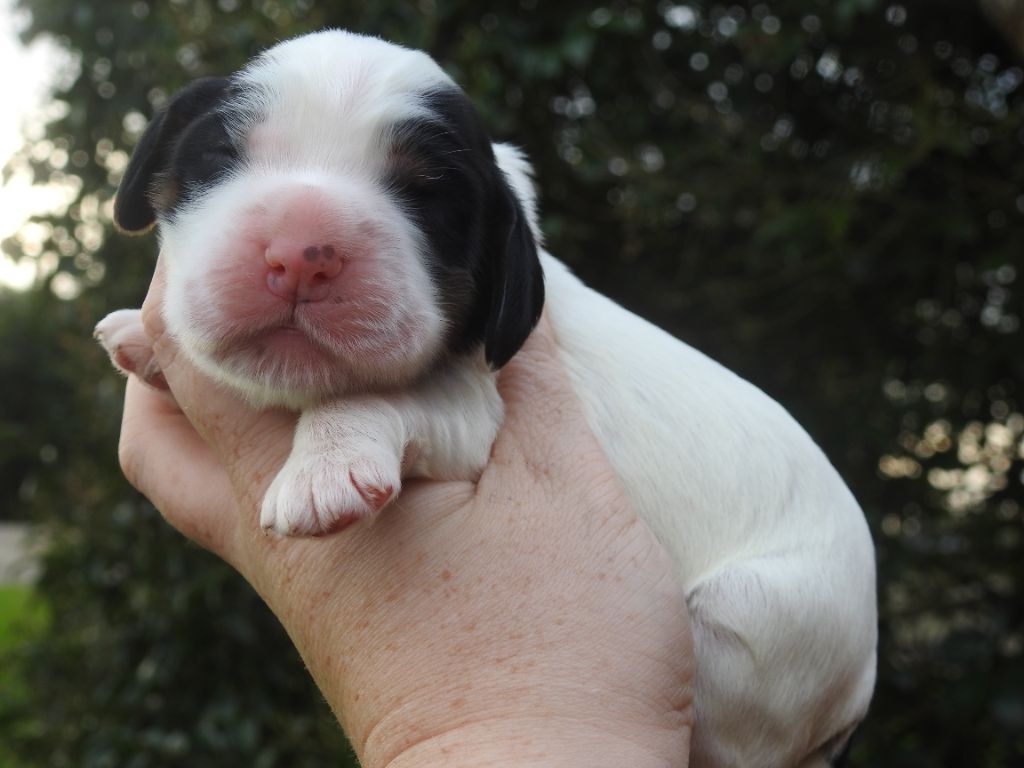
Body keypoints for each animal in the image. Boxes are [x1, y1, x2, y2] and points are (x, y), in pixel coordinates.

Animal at [96, 28, 876, 768]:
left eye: (427, 197)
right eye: (221, 155)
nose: (301, 252)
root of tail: (852, 704)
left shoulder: (472, 405)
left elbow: (375, 399)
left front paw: (323, 468)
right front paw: (139, 334)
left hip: (749, 630)